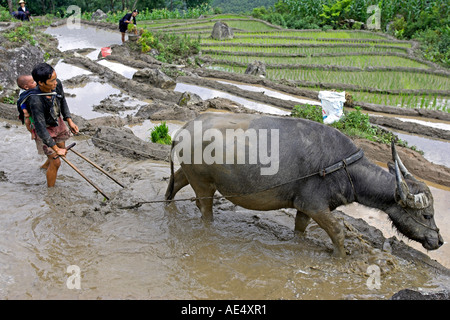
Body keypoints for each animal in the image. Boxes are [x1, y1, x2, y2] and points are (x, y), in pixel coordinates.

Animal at [165, 113, 442, 258]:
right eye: (426, 215)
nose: (438, 241)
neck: (344, 168)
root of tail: (184, 128)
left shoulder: (304, 208)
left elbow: (300, 229)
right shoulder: (314, 205)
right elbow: (338, 231)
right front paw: (341, 257)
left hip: (190, 174)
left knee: (174, 184)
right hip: (203, 183)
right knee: (204, 208)